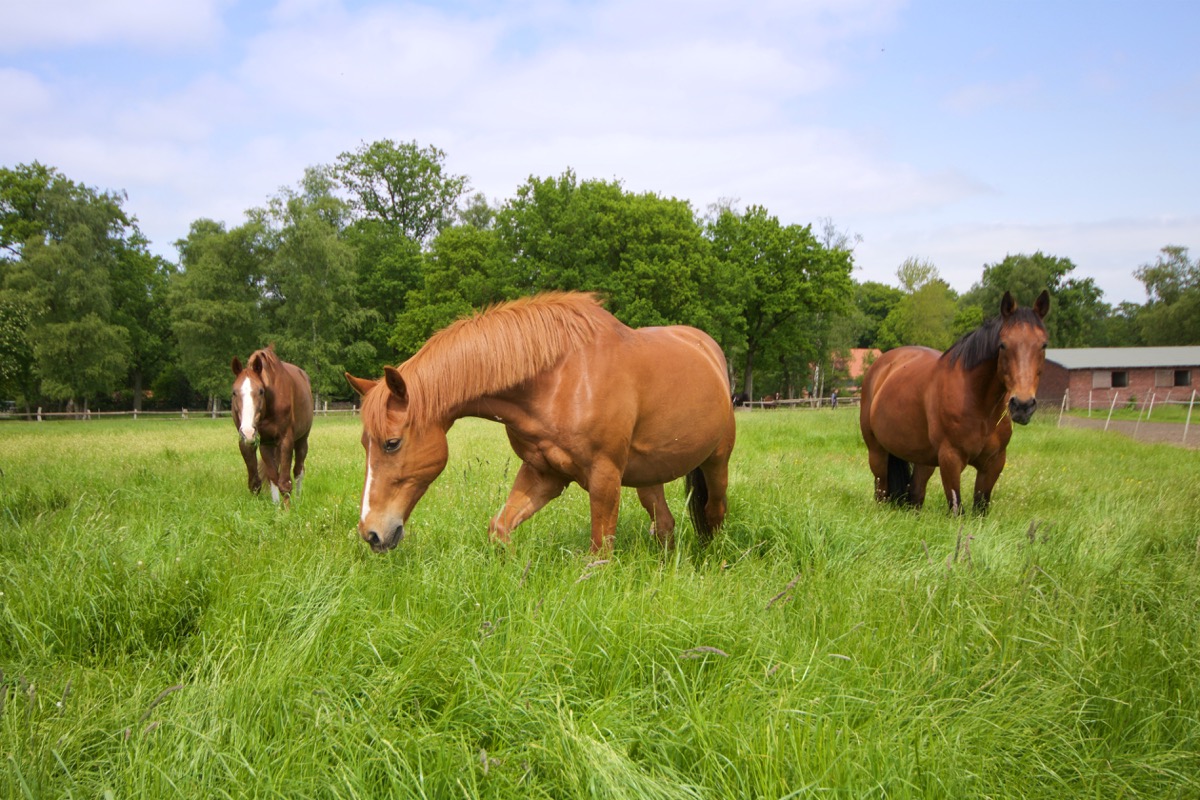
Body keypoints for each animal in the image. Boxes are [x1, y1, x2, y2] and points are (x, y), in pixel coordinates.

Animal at [231, 345, 314, 506]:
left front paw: (287, 510)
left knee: (298, 471)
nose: (248, 431)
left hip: (302, 440)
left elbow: (285, 482)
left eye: (261, 391)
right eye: (234, 392)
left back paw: (298, 500)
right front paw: (274, 507)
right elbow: (266, 479)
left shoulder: (286, 440)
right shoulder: (262, 442)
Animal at [344, 292, 736, 554]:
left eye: (391, 443)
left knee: (714, 512)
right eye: (365, 443)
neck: (561, 379)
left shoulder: (604, 475)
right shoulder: (544, 472)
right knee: (665, 524)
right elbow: (500, 528)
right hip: (647, 474)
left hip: (716, 462)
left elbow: (600, 551)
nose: (371, 533)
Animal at [859, 290, 1050, 515]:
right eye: (1003, 344)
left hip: (923, 458)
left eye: (1043, 344)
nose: (1022, 405)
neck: (980, 405)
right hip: (877, 452)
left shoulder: (993, 463)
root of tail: (882, 364)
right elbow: (957, 509)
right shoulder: (950, 459)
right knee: (881, 491)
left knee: (916, 493)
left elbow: (980, 508)